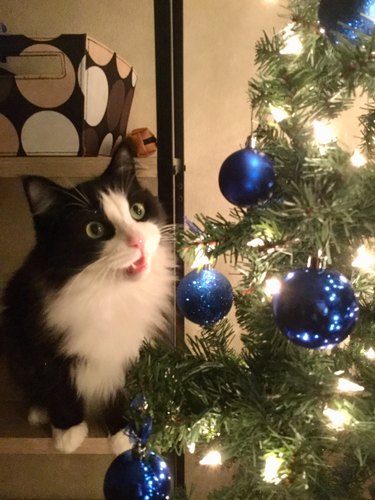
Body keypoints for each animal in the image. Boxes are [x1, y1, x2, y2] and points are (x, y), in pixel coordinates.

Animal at [1, 144, 175, 454]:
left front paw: (124, 433)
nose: (138, 241)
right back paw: (39, 411)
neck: (109, 294)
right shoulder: (44, 341)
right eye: (94, 229)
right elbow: (58, 385)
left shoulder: (135, 349)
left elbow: (126, 391)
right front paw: (67, 432)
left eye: (137, 211)